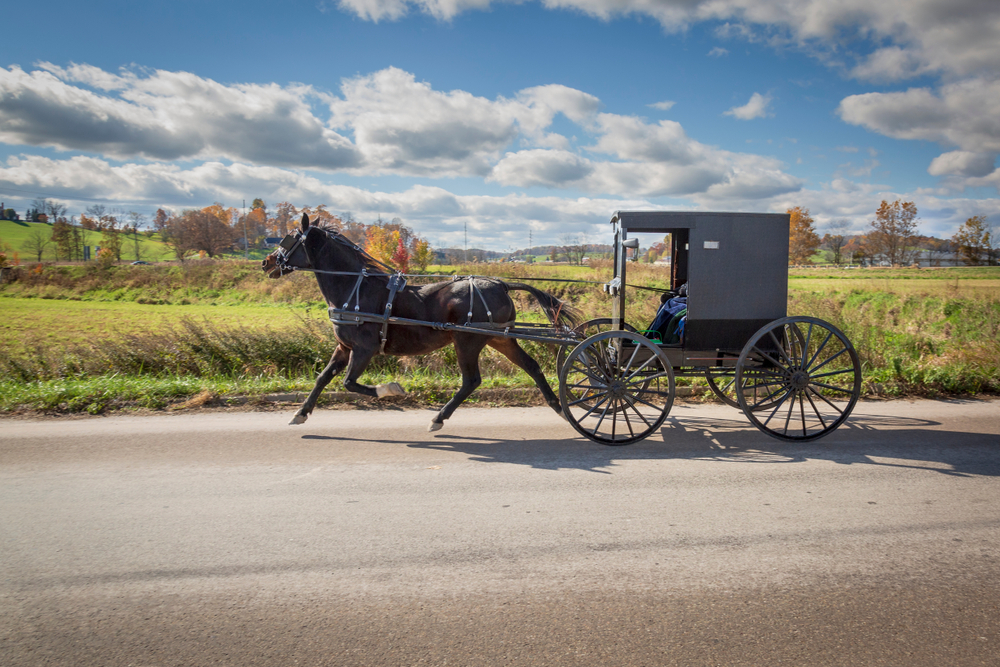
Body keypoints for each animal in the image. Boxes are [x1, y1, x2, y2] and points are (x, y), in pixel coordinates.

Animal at [262, 214, 584, 434]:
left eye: (288, 238)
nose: (266, 262)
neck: (355, 288)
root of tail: (500, 283)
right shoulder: (344, 347)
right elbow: (322, 378)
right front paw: (300, 413)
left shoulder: (365, 348)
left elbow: (349, 383)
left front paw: (390, 389)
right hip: (499, 338)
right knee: (531, 366)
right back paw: (558, 406)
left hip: (467, 341)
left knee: (471, 381)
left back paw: (438, 418)